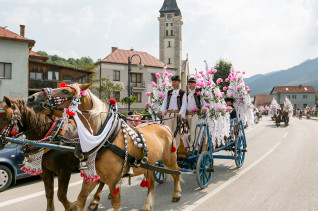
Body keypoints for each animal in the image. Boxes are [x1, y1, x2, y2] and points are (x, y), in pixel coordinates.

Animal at [26, 83, 181, 211]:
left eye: (65, 91)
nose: (31, 98)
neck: (104, 140)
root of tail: (163, 126)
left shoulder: (113, 181)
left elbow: (116, 204)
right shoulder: (92, 176)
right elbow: (80, 199)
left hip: (169, 158)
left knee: (176, 173)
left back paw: (176, 194)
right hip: (148, 165)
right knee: (152, 182)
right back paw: (147, 205)